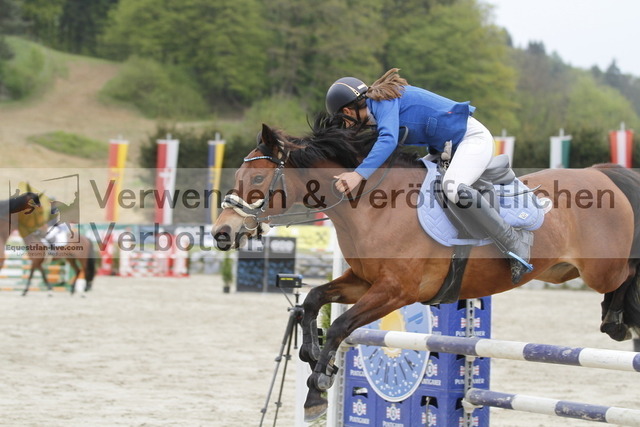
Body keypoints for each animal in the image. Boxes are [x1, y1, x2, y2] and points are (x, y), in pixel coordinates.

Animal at [211, 118, 640, 420]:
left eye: (258, 177)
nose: (221, 233)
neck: (372, 205)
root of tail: (601, 172)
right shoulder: (363, 281)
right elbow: (314, 300)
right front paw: (313, 354)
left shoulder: (396, 290)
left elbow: (340, 325)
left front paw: (317, 387)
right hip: (562, 270)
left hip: (602, 270)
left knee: (627, 275)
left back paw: (618, 320)